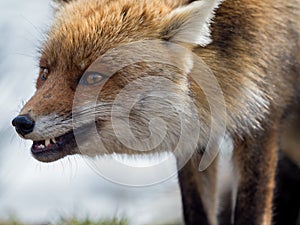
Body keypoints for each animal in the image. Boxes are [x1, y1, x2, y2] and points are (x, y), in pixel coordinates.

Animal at [12, 0, 300, 225]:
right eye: (45, 72)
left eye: (93, 77)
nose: (20, 122)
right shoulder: (194, 137)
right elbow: (196, 212)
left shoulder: (262, 120)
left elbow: (251, 213)